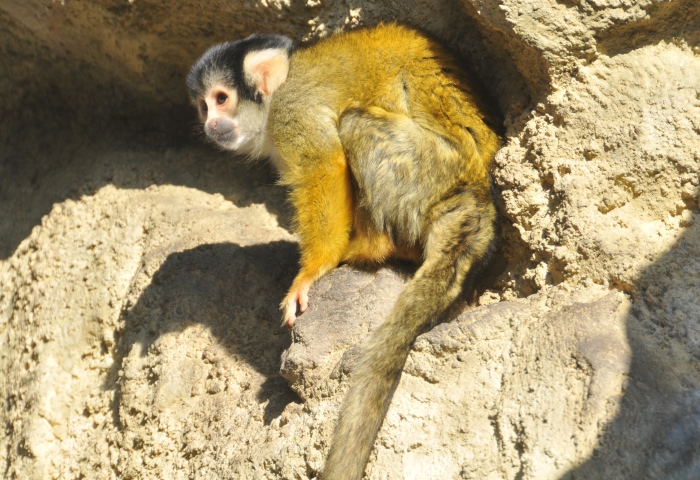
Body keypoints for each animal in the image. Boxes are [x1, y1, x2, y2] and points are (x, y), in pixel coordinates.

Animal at [189, 24, 500, 480]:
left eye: (221, 98)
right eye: (202, 105)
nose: (210, 123)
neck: (274, 99)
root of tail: (476, 191)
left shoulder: (292, 112)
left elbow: (323, 164)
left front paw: (314, 269)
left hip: (428, 171)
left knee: (354, 123)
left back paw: (372, 246)